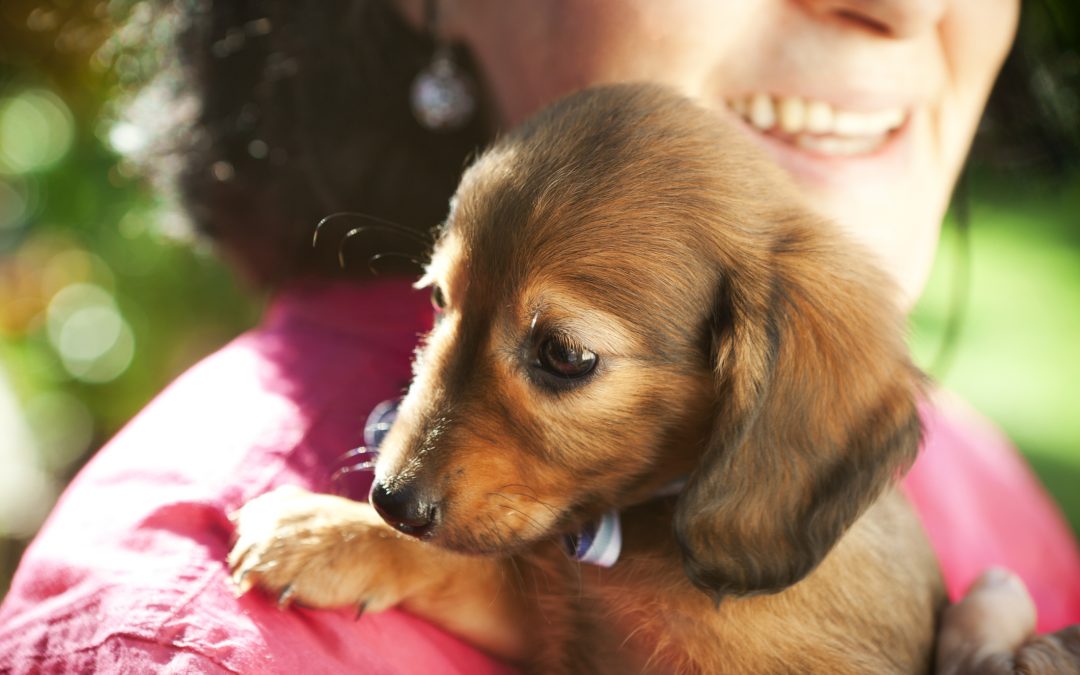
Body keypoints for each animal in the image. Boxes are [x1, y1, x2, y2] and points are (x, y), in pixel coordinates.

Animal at [230, 84, 946, 673]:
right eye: (438, 299)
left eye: (565, 355)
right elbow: (480, 567)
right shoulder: (564, 622)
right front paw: (332, 533)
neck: (642, 521)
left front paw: (334, 529)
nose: (390, 502)